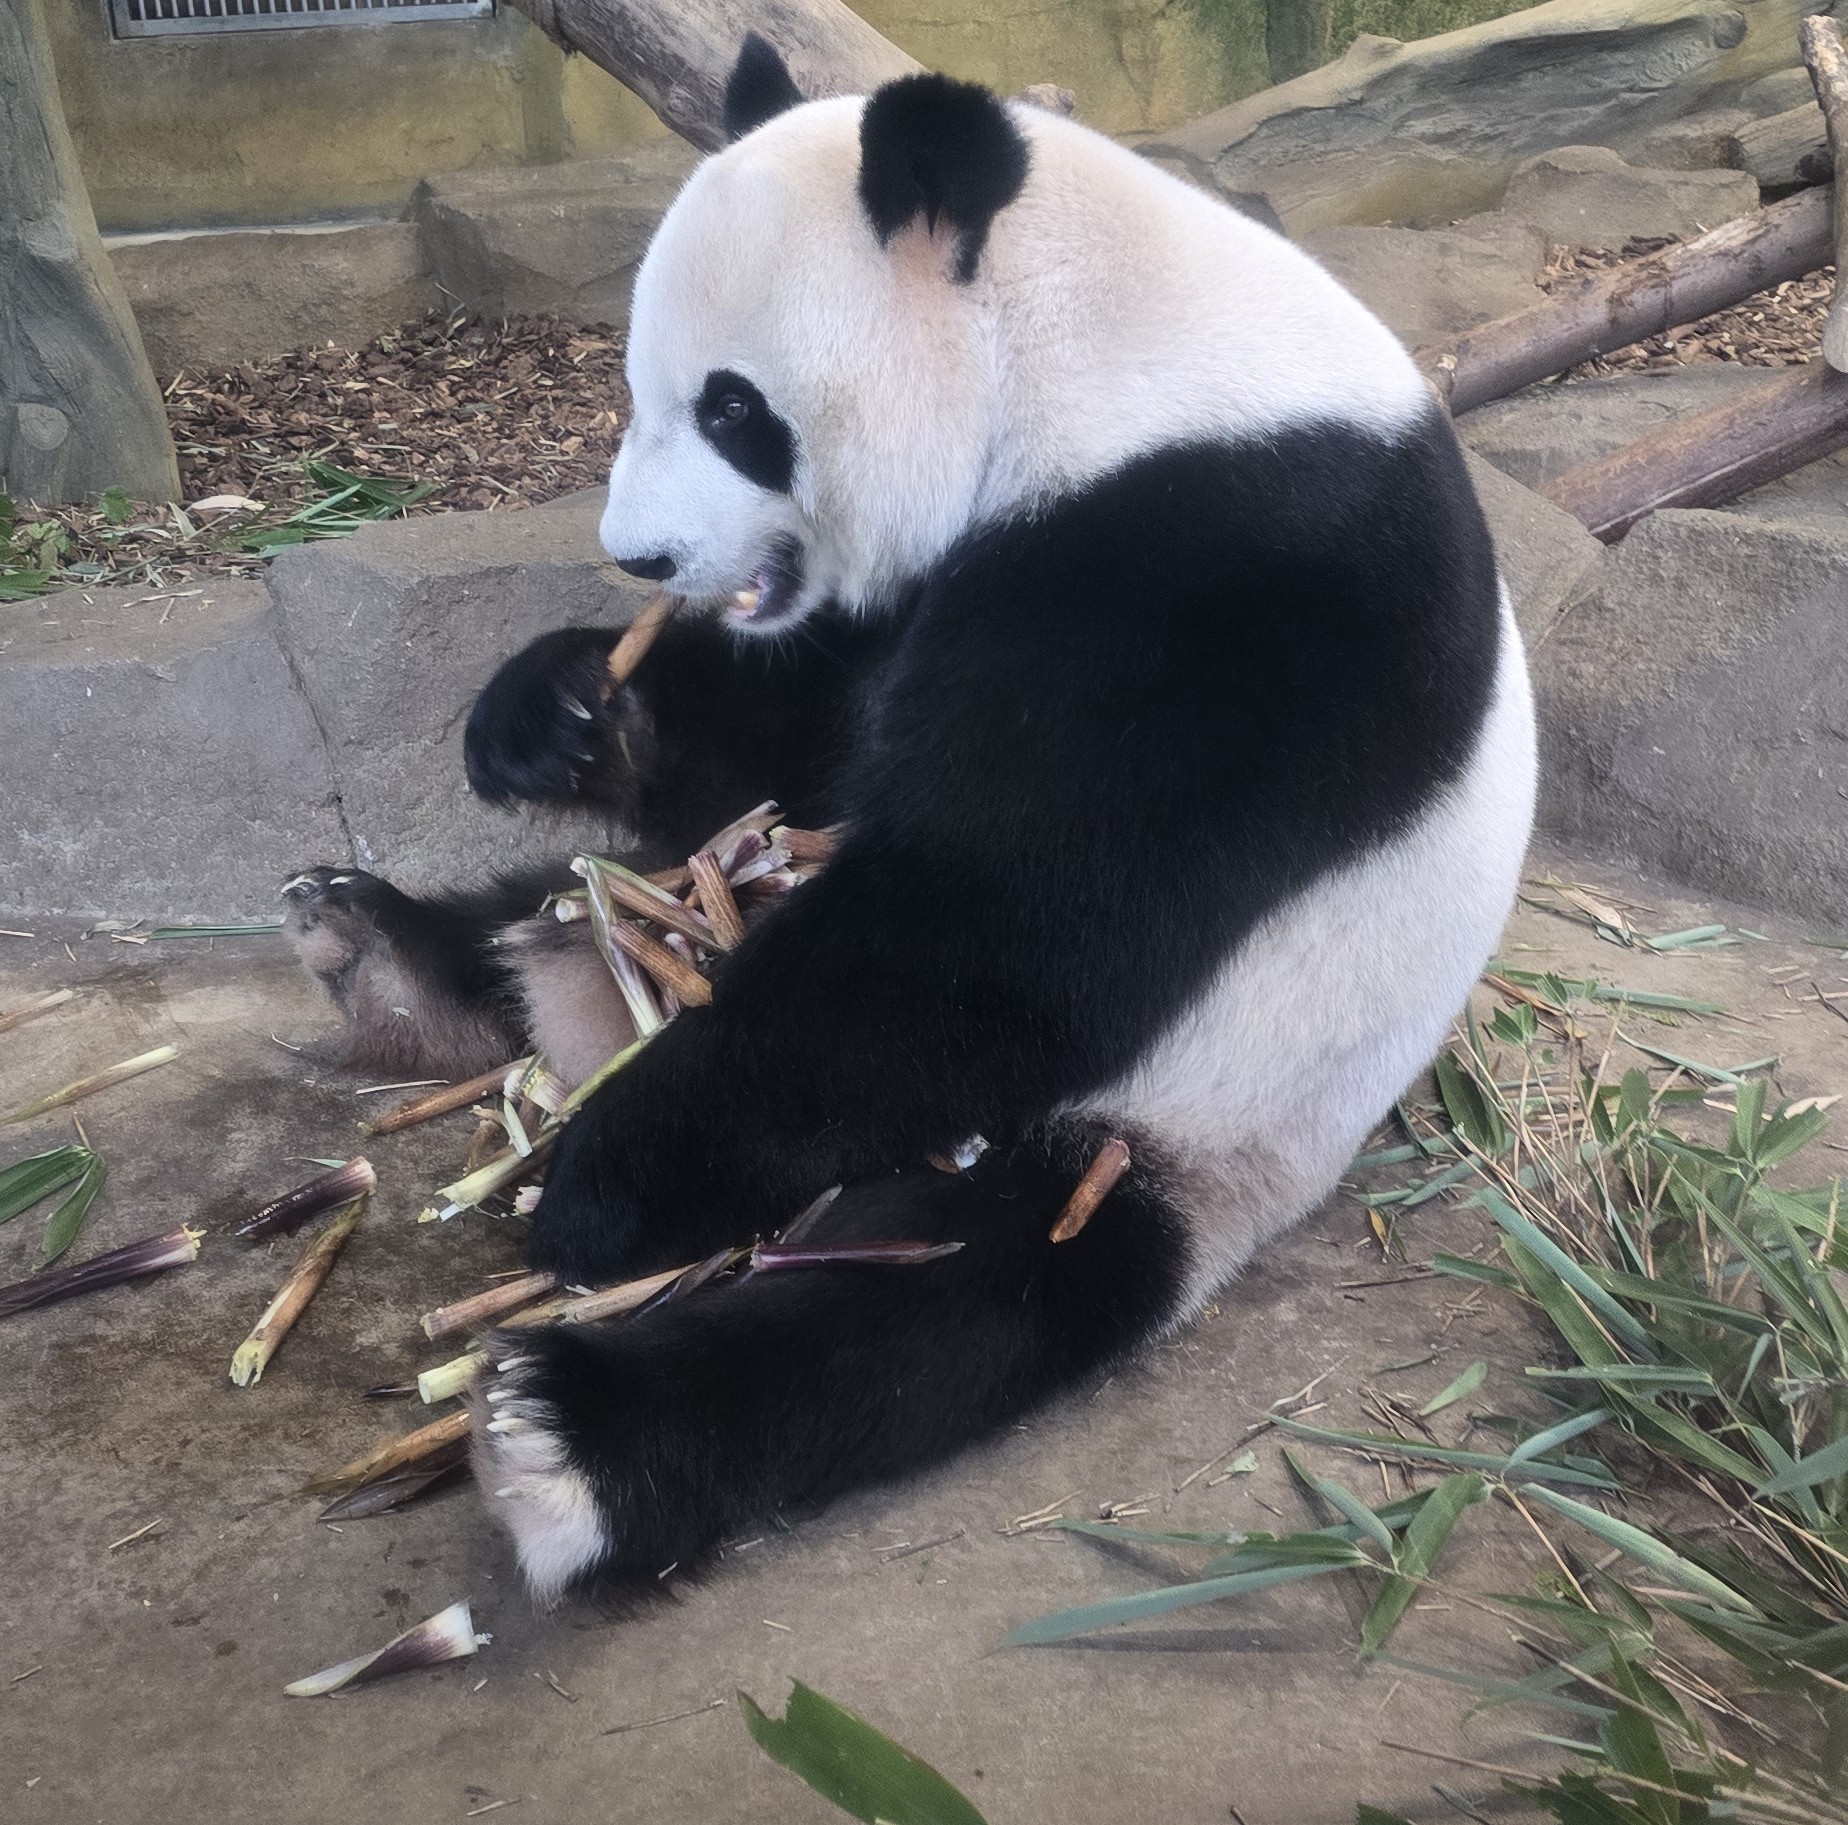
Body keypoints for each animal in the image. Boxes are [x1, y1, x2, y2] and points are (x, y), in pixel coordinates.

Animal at [281, 36, 1536, 1604]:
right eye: (637, 386)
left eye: (734, 410)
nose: (641, 556)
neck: (1090, 348)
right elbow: (789, 753)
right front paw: (561, 708)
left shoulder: (1232, 570)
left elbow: (1004, 928)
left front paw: (603, 1181)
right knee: (567, 900)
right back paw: (397, 955)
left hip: (1185, 1118)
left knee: (928, 1302)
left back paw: (564, 1439)